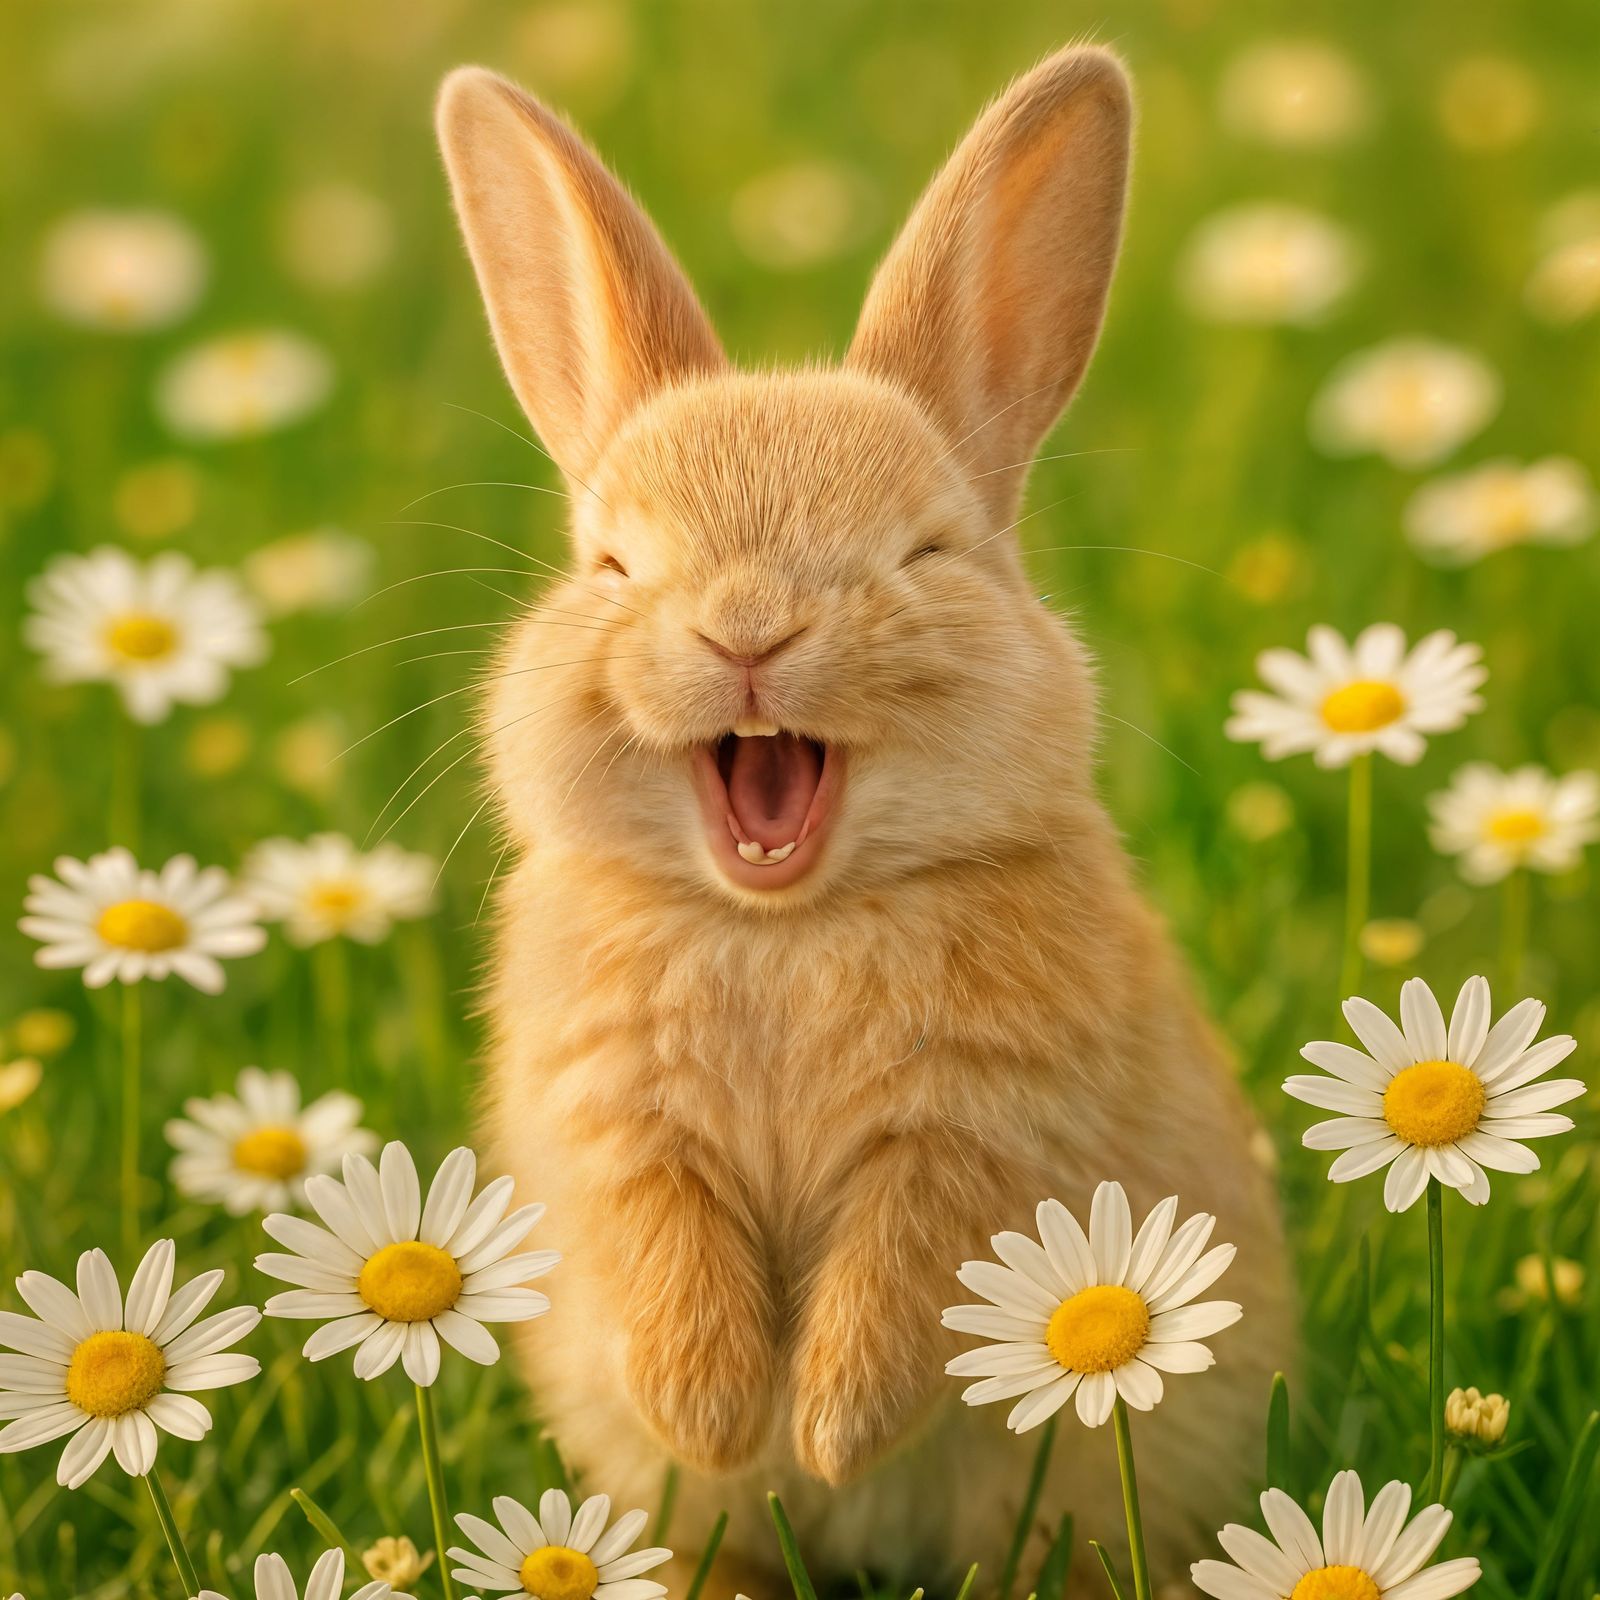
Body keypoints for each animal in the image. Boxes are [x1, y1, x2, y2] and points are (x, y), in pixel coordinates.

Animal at [435, 41, 1291, 1598]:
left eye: (924, 552)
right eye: (612, 564)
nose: (747, 629)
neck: (784, 919)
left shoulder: (968, 1140)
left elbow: (898, 1277)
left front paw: (830, 1431)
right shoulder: (625, 1128)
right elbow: (667, 1256)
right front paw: (720, 1416)